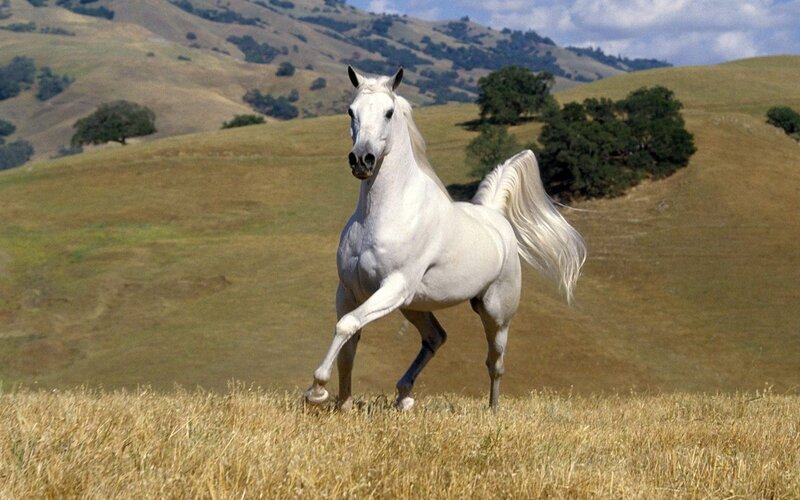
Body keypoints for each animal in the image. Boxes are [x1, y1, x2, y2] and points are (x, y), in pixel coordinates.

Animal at [304, 66, 586, 411]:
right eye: (350, 111)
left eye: (388, 112)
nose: (362, 159)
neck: (382, 214)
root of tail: (494, 216)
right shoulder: (349, 290)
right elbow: (348, 342)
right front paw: (342, 405)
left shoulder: (393, 286)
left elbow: (346, 325)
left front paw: (317, 391)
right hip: (413, 305)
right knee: (436, 337)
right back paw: (403, 396)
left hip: (495, 313)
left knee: (495, 363)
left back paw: (492, 411)